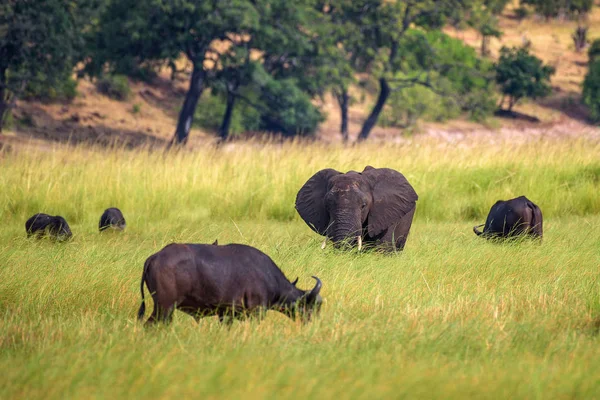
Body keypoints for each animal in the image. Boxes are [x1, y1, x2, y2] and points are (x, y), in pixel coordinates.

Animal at [138, 241, 324, 324]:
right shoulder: (257, 312)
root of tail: (155, 257)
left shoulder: (226, 315)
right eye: (310, 306)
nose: (312, 324)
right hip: (164, 308)